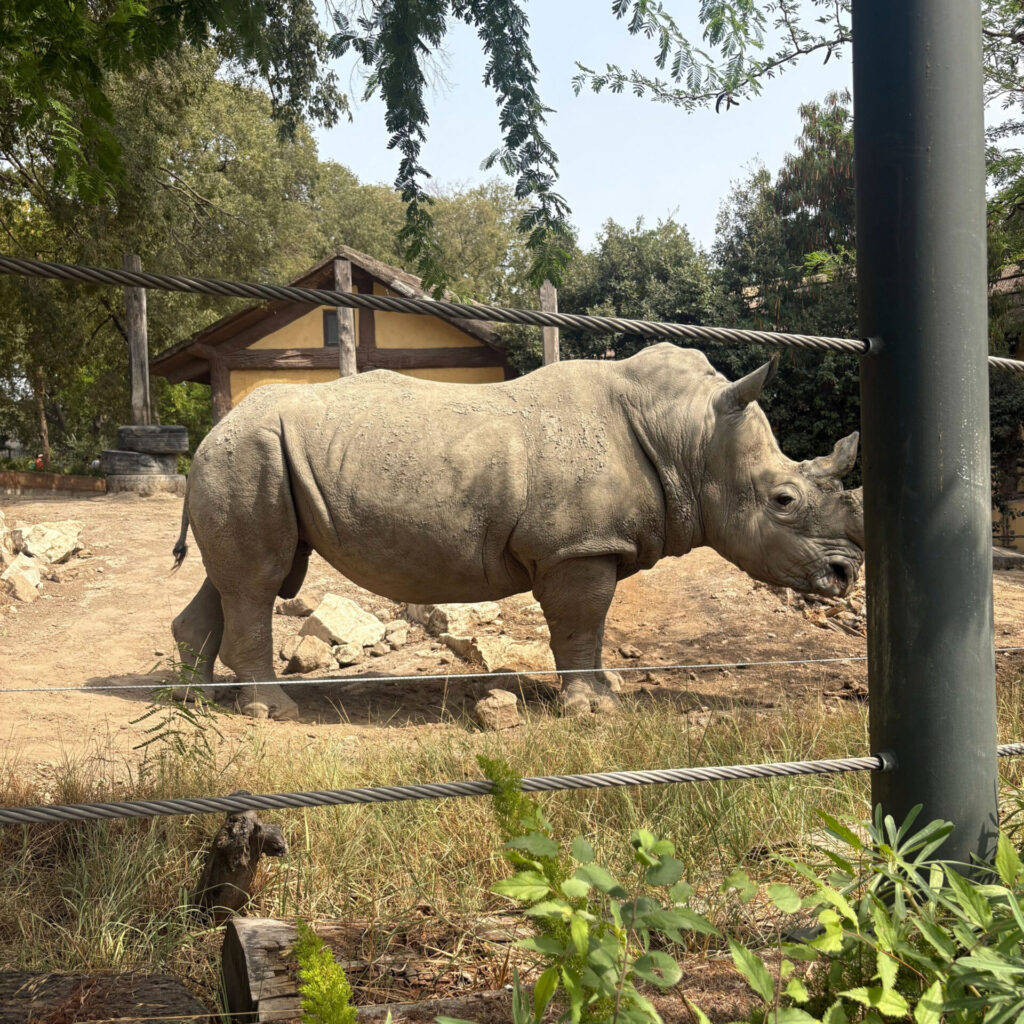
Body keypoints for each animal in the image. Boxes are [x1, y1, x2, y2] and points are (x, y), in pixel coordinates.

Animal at [171, 343, 863, 720]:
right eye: (783, 500)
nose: (846, 575)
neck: (689, 438)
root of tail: (213, 429)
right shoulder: (577, 548)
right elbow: (582, 624)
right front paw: (592, 709)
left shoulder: (586, 544)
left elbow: (589, 629)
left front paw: (604, 694)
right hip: (251, 453)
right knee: (259, 583)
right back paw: (272, 712)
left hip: (246, 457)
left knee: (235, 580)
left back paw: (194, 702)